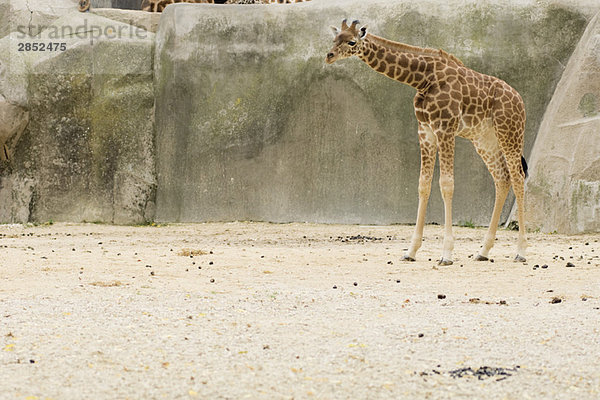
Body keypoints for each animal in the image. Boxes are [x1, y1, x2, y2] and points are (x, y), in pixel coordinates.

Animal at [326, 20, 528, 264]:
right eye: (334, 39)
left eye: (352, 42)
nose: (329, 56)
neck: (422, 79)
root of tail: (520, 100)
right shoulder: (425, 131)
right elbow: (423, 184)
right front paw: (410, 251)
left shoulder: (445, 128)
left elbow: (447, 184)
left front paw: (447, 254)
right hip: (484, 139)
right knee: (502, 178)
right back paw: (483, 251)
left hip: (510, 132)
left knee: (517, 178)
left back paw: (521, 252)